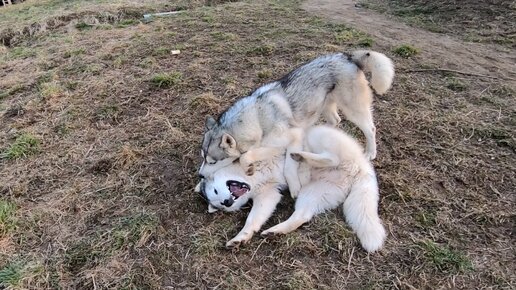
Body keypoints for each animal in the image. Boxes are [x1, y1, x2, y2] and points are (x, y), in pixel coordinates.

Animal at [198, 125, 388, 253]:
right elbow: (252, 220)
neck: (251, 179)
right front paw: (242, 237)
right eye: (220, 205)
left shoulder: (272, 148)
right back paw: (276, 231)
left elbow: (250, 155)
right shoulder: (268, 195)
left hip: (319, 136)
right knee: (302, 216)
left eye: (216, 192)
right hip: (312, 193)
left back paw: (301, 156)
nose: (227, 202)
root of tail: (361, 168)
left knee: (331, 157)